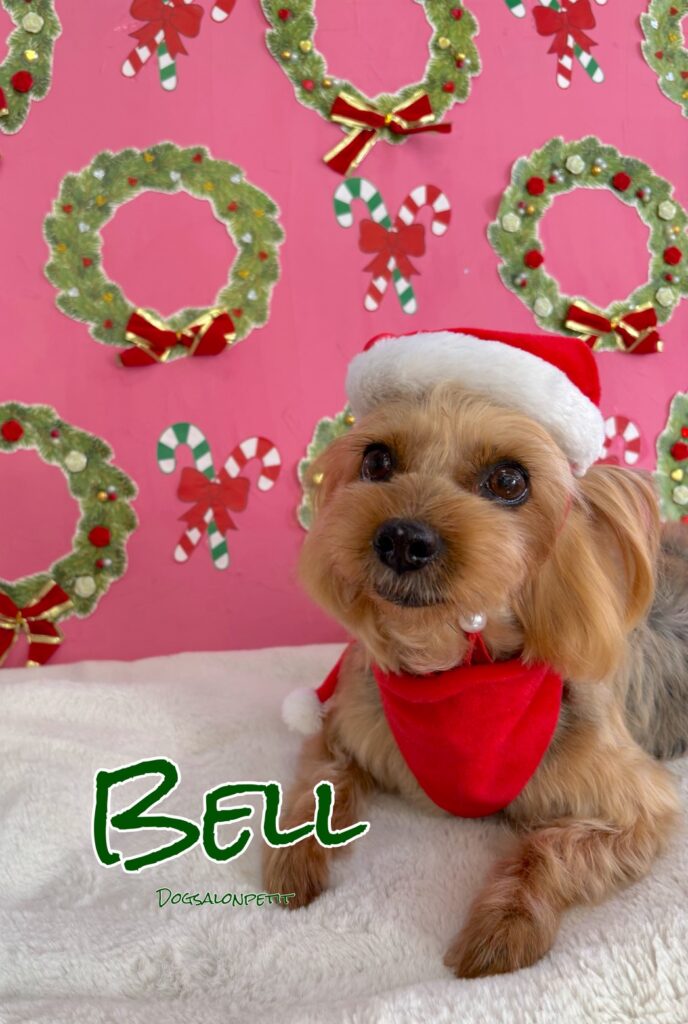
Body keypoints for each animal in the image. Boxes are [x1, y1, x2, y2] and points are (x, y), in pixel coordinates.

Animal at [263, 329, 687, 978]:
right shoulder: (346, 724)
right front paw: (293, 861)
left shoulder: (639, 805)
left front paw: (501, 930)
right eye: (376, 460)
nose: (402, 538)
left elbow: (549, 850)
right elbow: (320, 779)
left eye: (510, 480)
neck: (451, 669)